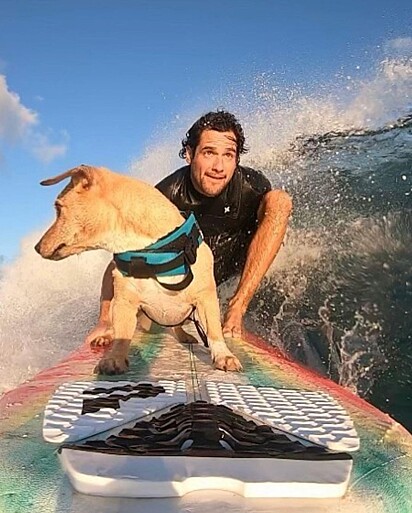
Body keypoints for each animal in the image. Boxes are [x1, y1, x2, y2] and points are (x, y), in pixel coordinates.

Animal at [35, 166, 243, 374]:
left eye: (58, 208)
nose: (36, 247)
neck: (152, 250)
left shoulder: (206, 298)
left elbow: (214, 331)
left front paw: (224, 356)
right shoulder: (124, 302)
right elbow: (122, 335)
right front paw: (114, 358)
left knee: (177, 326)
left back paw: (183, 335)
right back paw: (106, 336)